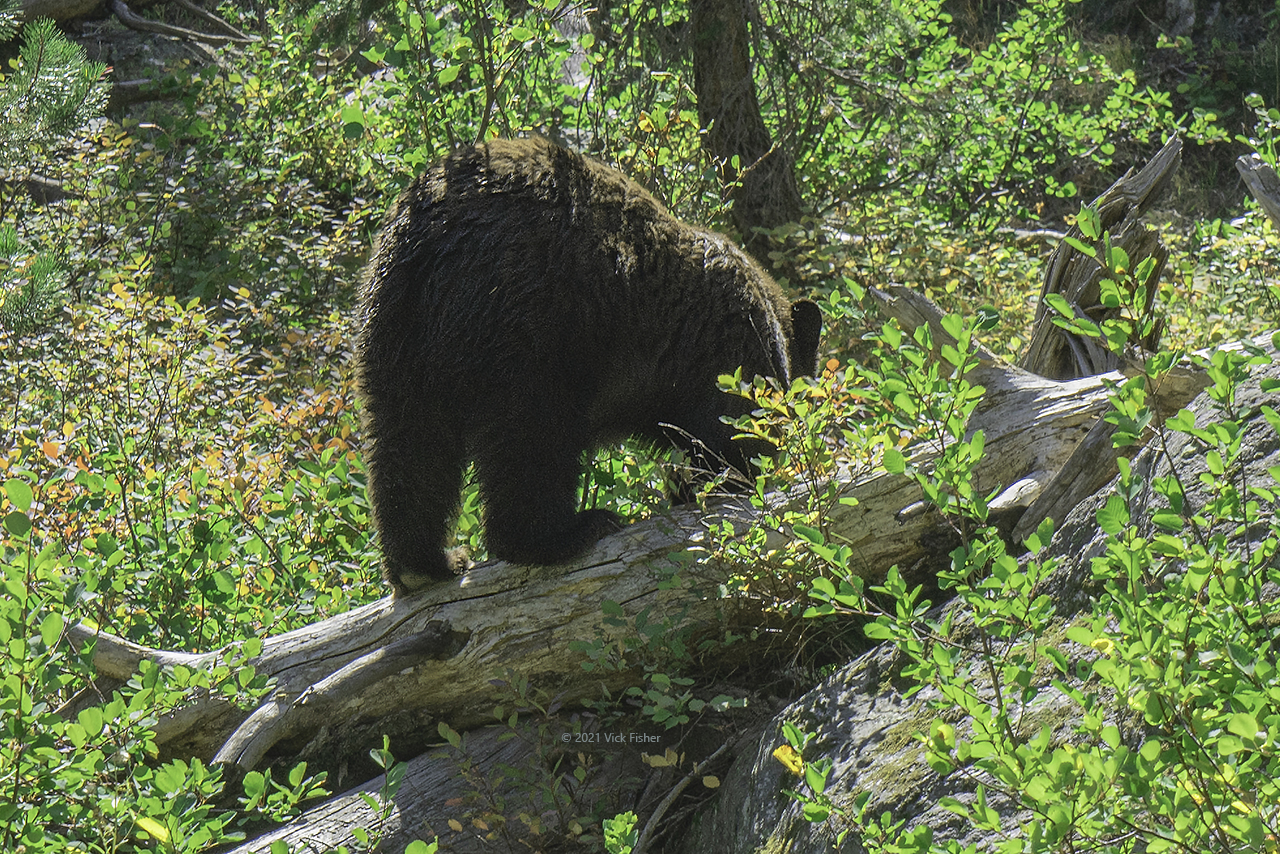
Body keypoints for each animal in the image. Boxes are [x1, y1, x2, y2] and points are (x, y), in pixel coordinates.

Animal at [355, 138, 824, 594]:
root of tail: (434, 239)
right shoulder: (729, 342)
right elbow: (734, 429)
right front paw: (710, 483)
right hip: (531, 319)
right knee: (532, 435)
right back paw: (568, 532)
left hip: (396, 322)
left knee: (409, 441)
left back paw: (423, 564)